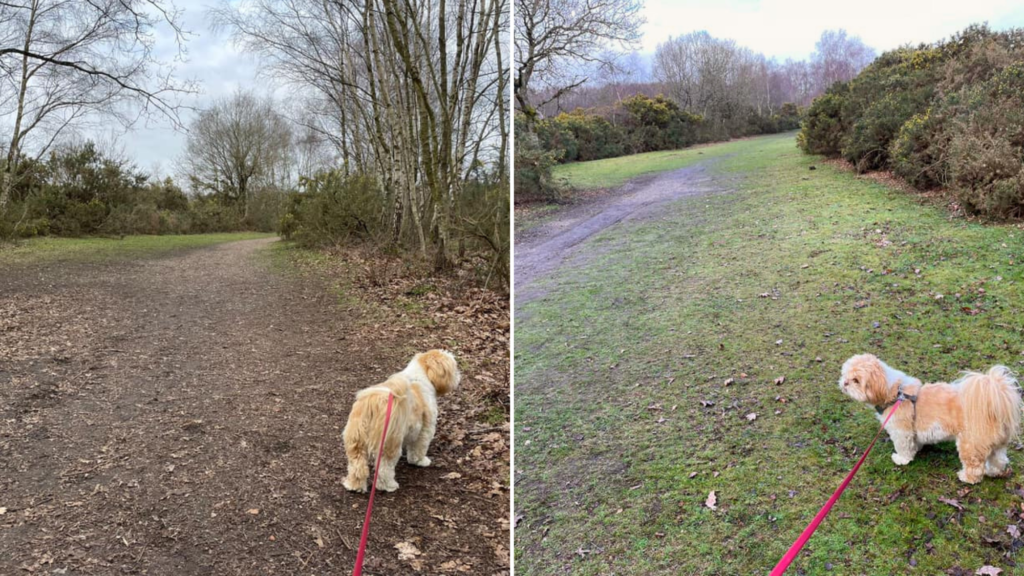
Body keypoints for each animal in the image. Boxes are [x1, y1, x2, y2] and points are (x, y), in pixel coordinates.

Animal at [339, 348, 460, 491]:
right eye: (455, 367)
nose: (459, 376)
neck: (420, 376)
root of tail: (373, 402)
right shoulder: (425, 429)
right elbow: (418, 448)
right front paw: (420, 461)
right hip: (389, 442)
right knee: (385, 467)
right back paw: (389, 486)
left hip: (356, 440)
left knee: (357, 465)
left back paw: (354, 486)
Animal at [839, 352, 1015, 481]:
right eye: (845, 375)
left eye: (856, 380)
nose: (845, 383)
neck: (895, 393)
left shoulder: (901, 431)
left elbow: (903, 447)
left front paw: (901, 459)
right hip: (996, 444)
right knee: (999, 460)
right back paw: (993, 471)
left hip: (971, 444)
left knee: (975, 466)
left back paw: (966, 477)